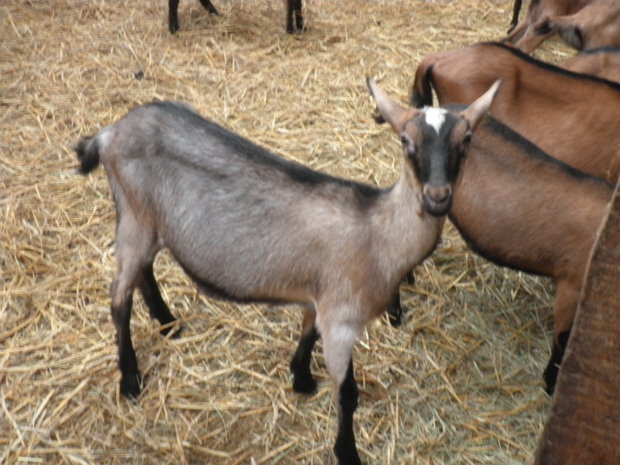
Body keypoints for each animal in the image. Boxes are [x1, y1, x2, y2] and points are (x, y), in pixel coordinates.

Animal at [75, 79, 498, 460]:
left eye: (466, 140)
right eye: (406, 141)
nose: (437, 197)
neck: (378, 234)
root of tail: (110, 133)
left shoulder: (319, 298)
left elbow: (307, 332)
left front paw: (301, 378)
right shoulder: (342, 320)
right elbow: (348, 393)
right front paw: (346, 451)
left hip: (148, 222)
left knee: (143, 272)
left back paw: (167, 323)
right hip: (134, 217)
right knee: (119, 298)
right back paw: (130, 379)